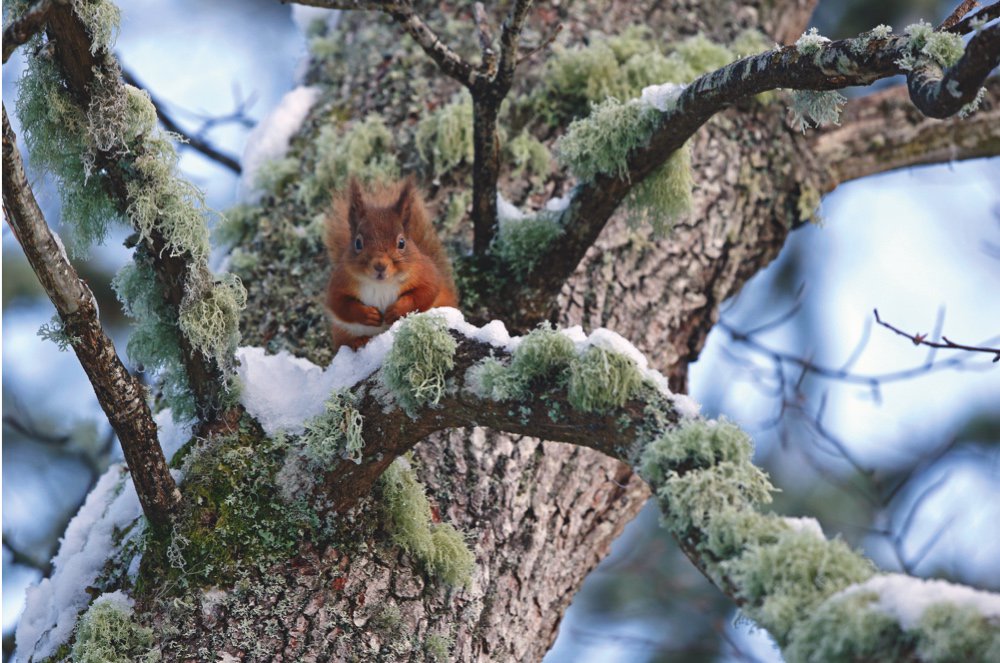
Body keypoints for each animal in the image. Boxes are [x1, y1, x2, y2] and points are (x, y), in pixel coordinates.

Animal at [324, 177, 459, 352]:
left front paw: (396, 310)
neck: (382, 284)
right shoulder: (340, 280)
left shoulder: (425, 272)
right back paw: (359, 341)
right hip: (342, 331)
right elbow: (339, 303)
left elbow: (426, 292)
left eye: (401, 243)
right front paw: (367, 314)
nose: (380, 265)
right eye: (358, 243)